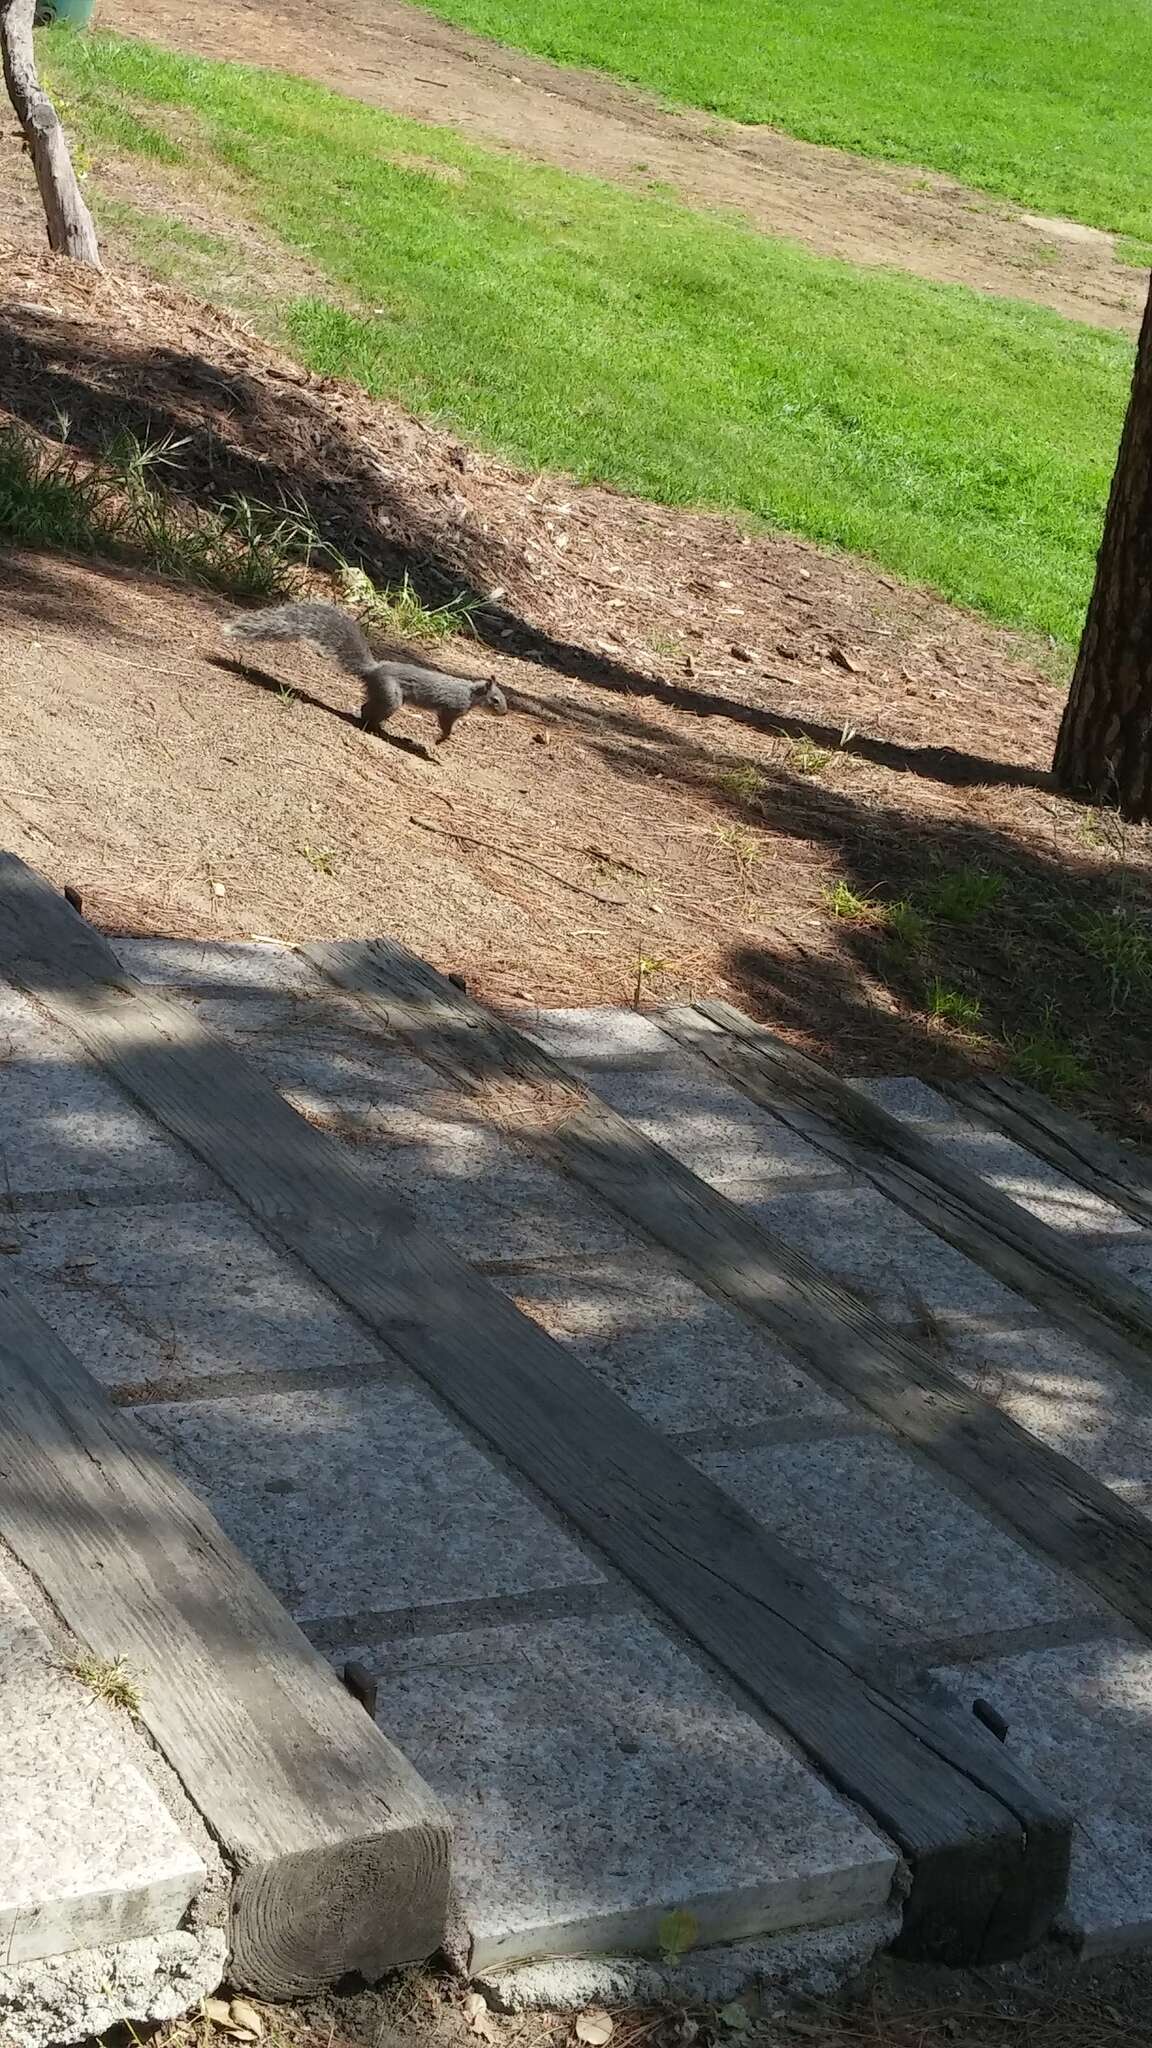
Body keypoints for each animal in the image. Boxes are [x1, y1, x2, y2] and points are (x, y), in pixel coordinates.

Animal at [223, 598, 506, 745]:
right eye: (495, 700)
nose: (503, 713)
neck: (471, 693)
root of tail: (373, 670)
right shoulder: (452, 707)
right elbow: (445, 722)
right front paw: (443, 739)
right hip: (391, 695)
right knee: (368, 710)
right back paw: (373, 728)